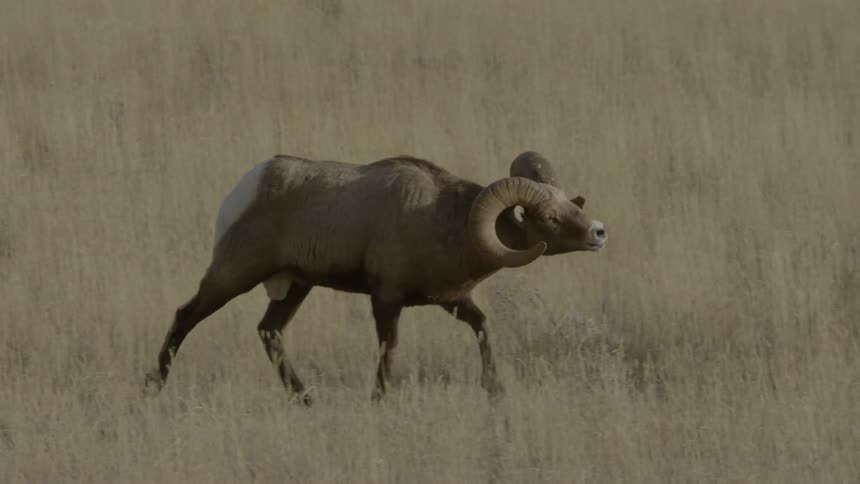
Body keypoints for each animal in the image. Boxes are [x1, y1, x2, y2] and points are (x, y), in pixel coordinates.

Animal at [144, 151, 607, 404]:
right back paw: (152, 386)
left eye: (571, 204)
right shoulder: (386, 299)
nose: (598, 233)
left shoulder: (452, 301)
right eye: (550, 218)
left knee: (269, 332)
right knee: (186, 316)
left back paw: (306, 400)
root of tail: (245, 190)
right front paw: (379, 399)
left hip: (294, 287)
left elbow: (482, 328)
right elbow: (389, 350)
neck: (443, 221)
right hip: (233, 276)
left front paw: (494, 390)